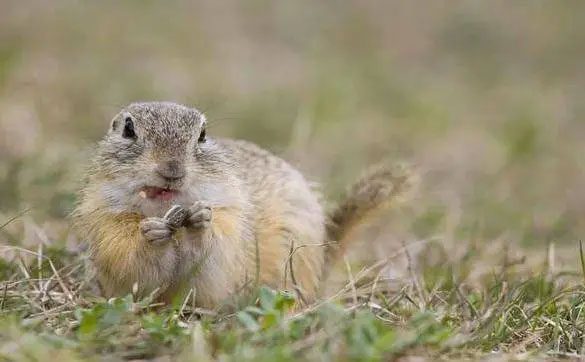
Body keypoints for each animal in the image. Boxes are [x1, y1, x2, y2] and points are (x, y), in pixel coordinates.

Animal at [73, 102, 412, 308]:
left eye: (203, 135)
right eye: (128, 129)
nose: (172, 169)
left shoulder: (232, 221)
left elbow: (214, 253)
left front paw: (200, 222)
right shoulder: (107, 224)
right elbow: (132, 265)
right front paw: (151, 235)